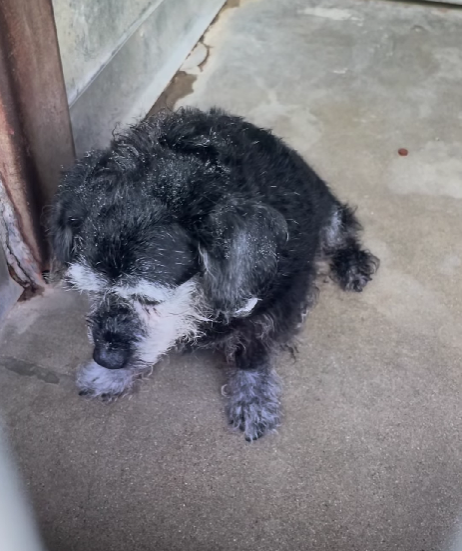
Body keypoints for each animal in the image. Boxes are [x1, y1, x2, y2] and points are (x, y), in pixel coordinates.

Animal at [48, 108, 378, 442]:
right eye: (93, 290)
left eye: (150, 300)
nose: (106, 358)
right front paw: (107, 375)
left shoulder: (276, 306)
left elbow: (254, 352)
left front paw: (253, 398)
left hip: (327, 212)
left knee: (342, 228)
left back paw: (352, 263)